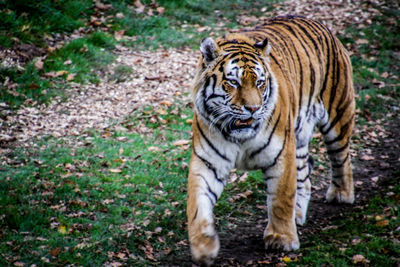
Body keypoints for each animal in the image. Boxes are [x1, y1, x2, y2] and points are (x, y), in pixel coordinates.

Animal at [186, 15, 354, 264]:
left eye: (259, 82)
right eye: (233, 82)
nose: (254, 109)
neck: (239, 137)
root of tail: (322, 25)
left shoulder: (281, 153)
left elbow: (281, 198)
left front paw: (281, 239)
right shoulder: (207, 161)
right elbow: (198, 204)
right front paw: (203, 247)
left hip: (338, 114)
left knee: (342, 156)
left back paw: (342, 194)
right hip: (299, 137)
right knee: (304, 176)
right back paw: (298, 214)